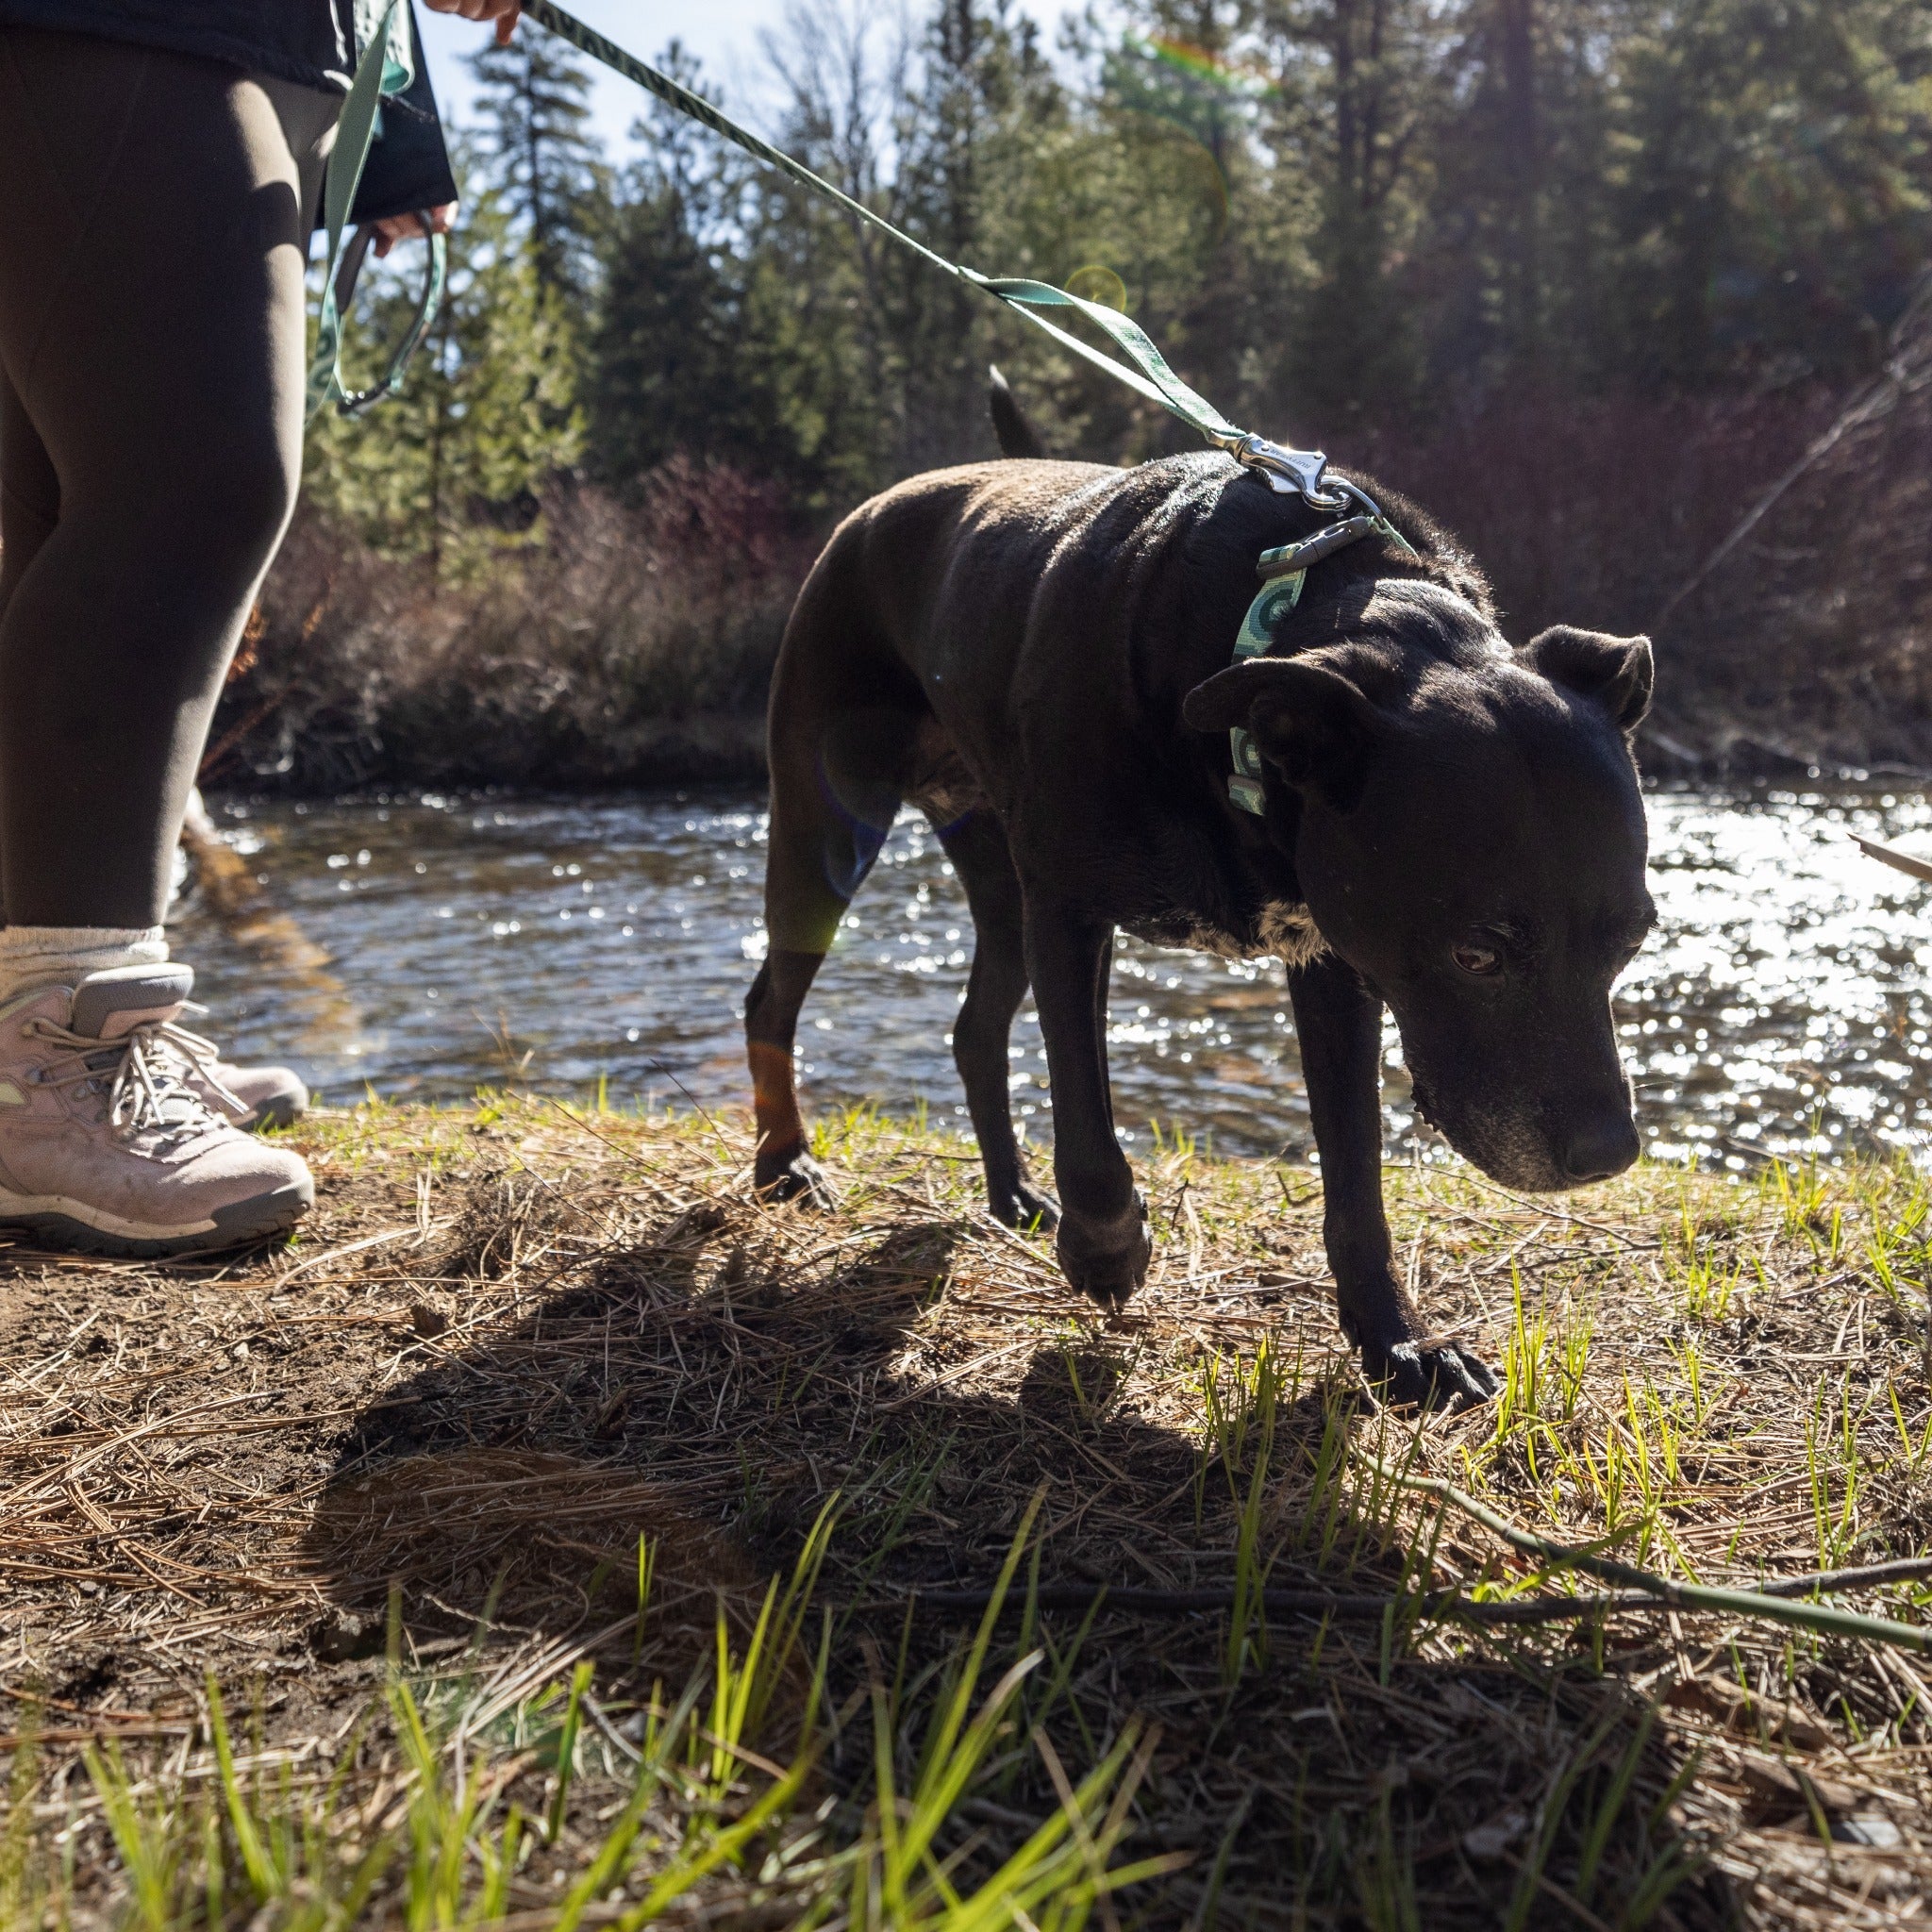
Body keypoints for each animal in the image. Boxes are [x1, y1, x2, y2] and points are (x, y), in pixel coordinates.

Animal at [738, 408, 1645, 1406]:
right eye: (1477, 954)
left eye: (1635, 940)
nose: (1609, 1154)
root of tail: (877, 507)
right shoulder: (1069, 911)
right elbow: (1087, 1122)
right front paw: (1106, 1251)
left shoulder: (1335, 955)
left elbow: (1355, 1174)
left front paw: (1396, 1342)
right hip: (830, 828)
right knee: (771, 998)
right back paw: (784, 1162)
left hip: (1000, 893)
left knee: (974, 1028)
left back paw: (1009, 1191)